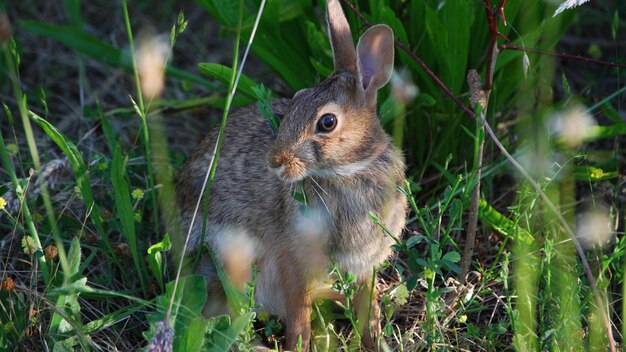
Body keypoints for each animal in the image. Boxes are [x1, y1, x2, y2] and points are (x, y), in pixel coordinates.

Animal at [176, 0, 408, 350]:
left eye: (327, 122)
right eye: (296, 99)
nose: (274, 161)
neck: (349, 171)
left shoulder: (365, 262)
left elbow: (365, 304)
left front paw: (374, 340)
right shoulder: (292, 256)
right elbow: (298, 311)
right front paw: (298, 344)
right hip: (232, 257)